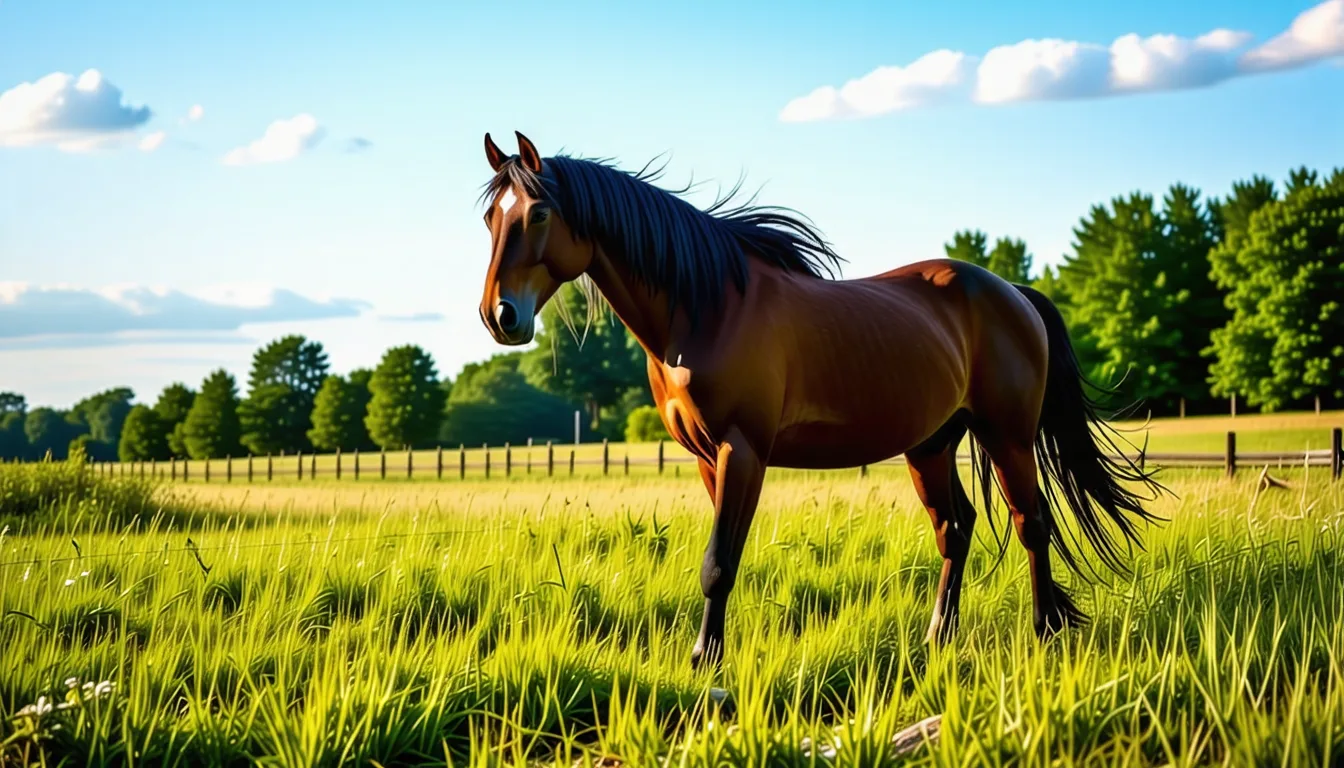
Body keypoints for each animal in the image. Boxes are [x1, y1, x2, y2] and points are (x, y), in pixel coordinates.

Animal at [475, 131, 1164, 668]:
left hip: (1007, 437)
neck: (705, 308)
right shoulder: (705, 457)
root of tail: (1013, 293)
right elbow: (721, 559)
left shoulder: (743, 450)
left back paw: (1045, 631)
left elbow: (718, 561)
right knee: (956, 528)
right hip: (932, 444)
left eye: (538, 214)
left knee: (1031, 522)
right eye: (491, 219)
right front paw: (709, 655)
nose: (499, 316)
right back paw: (937, 638)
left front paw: (704, 662)